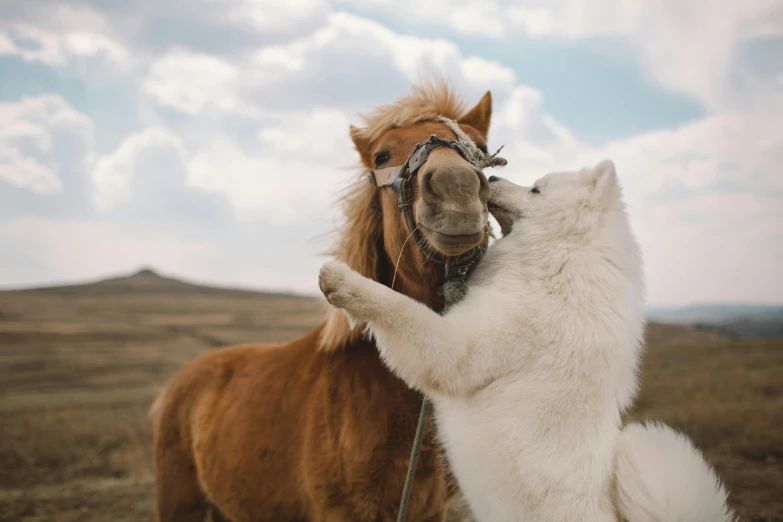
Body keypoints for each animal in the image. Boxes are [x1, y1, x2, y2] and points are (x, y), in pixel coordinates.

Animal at [318, 159, 736, 520]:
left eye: (535, 189)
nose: (491, 179)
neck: (564, 251)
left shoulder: (461, 350)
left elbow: (397, 307)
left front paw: (342, 281)